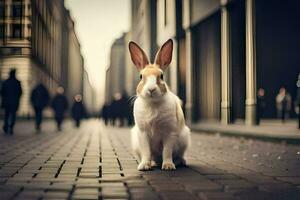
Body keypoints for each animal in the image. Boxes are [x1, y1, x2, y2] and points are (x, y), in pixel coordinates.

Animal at [128, 39, 190, 170]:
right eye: (141, 77)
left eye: (161, 76)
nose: (151, 89)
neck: (152, 103)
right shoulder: (142, 133)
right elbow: (146, 151)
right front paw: (144, 166)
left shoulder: (169, 132)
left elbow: (167, 151)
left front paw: (168, 166)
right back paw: (152, 163)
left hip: (184, 138)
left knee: (178, 155)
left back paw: (180, 162)